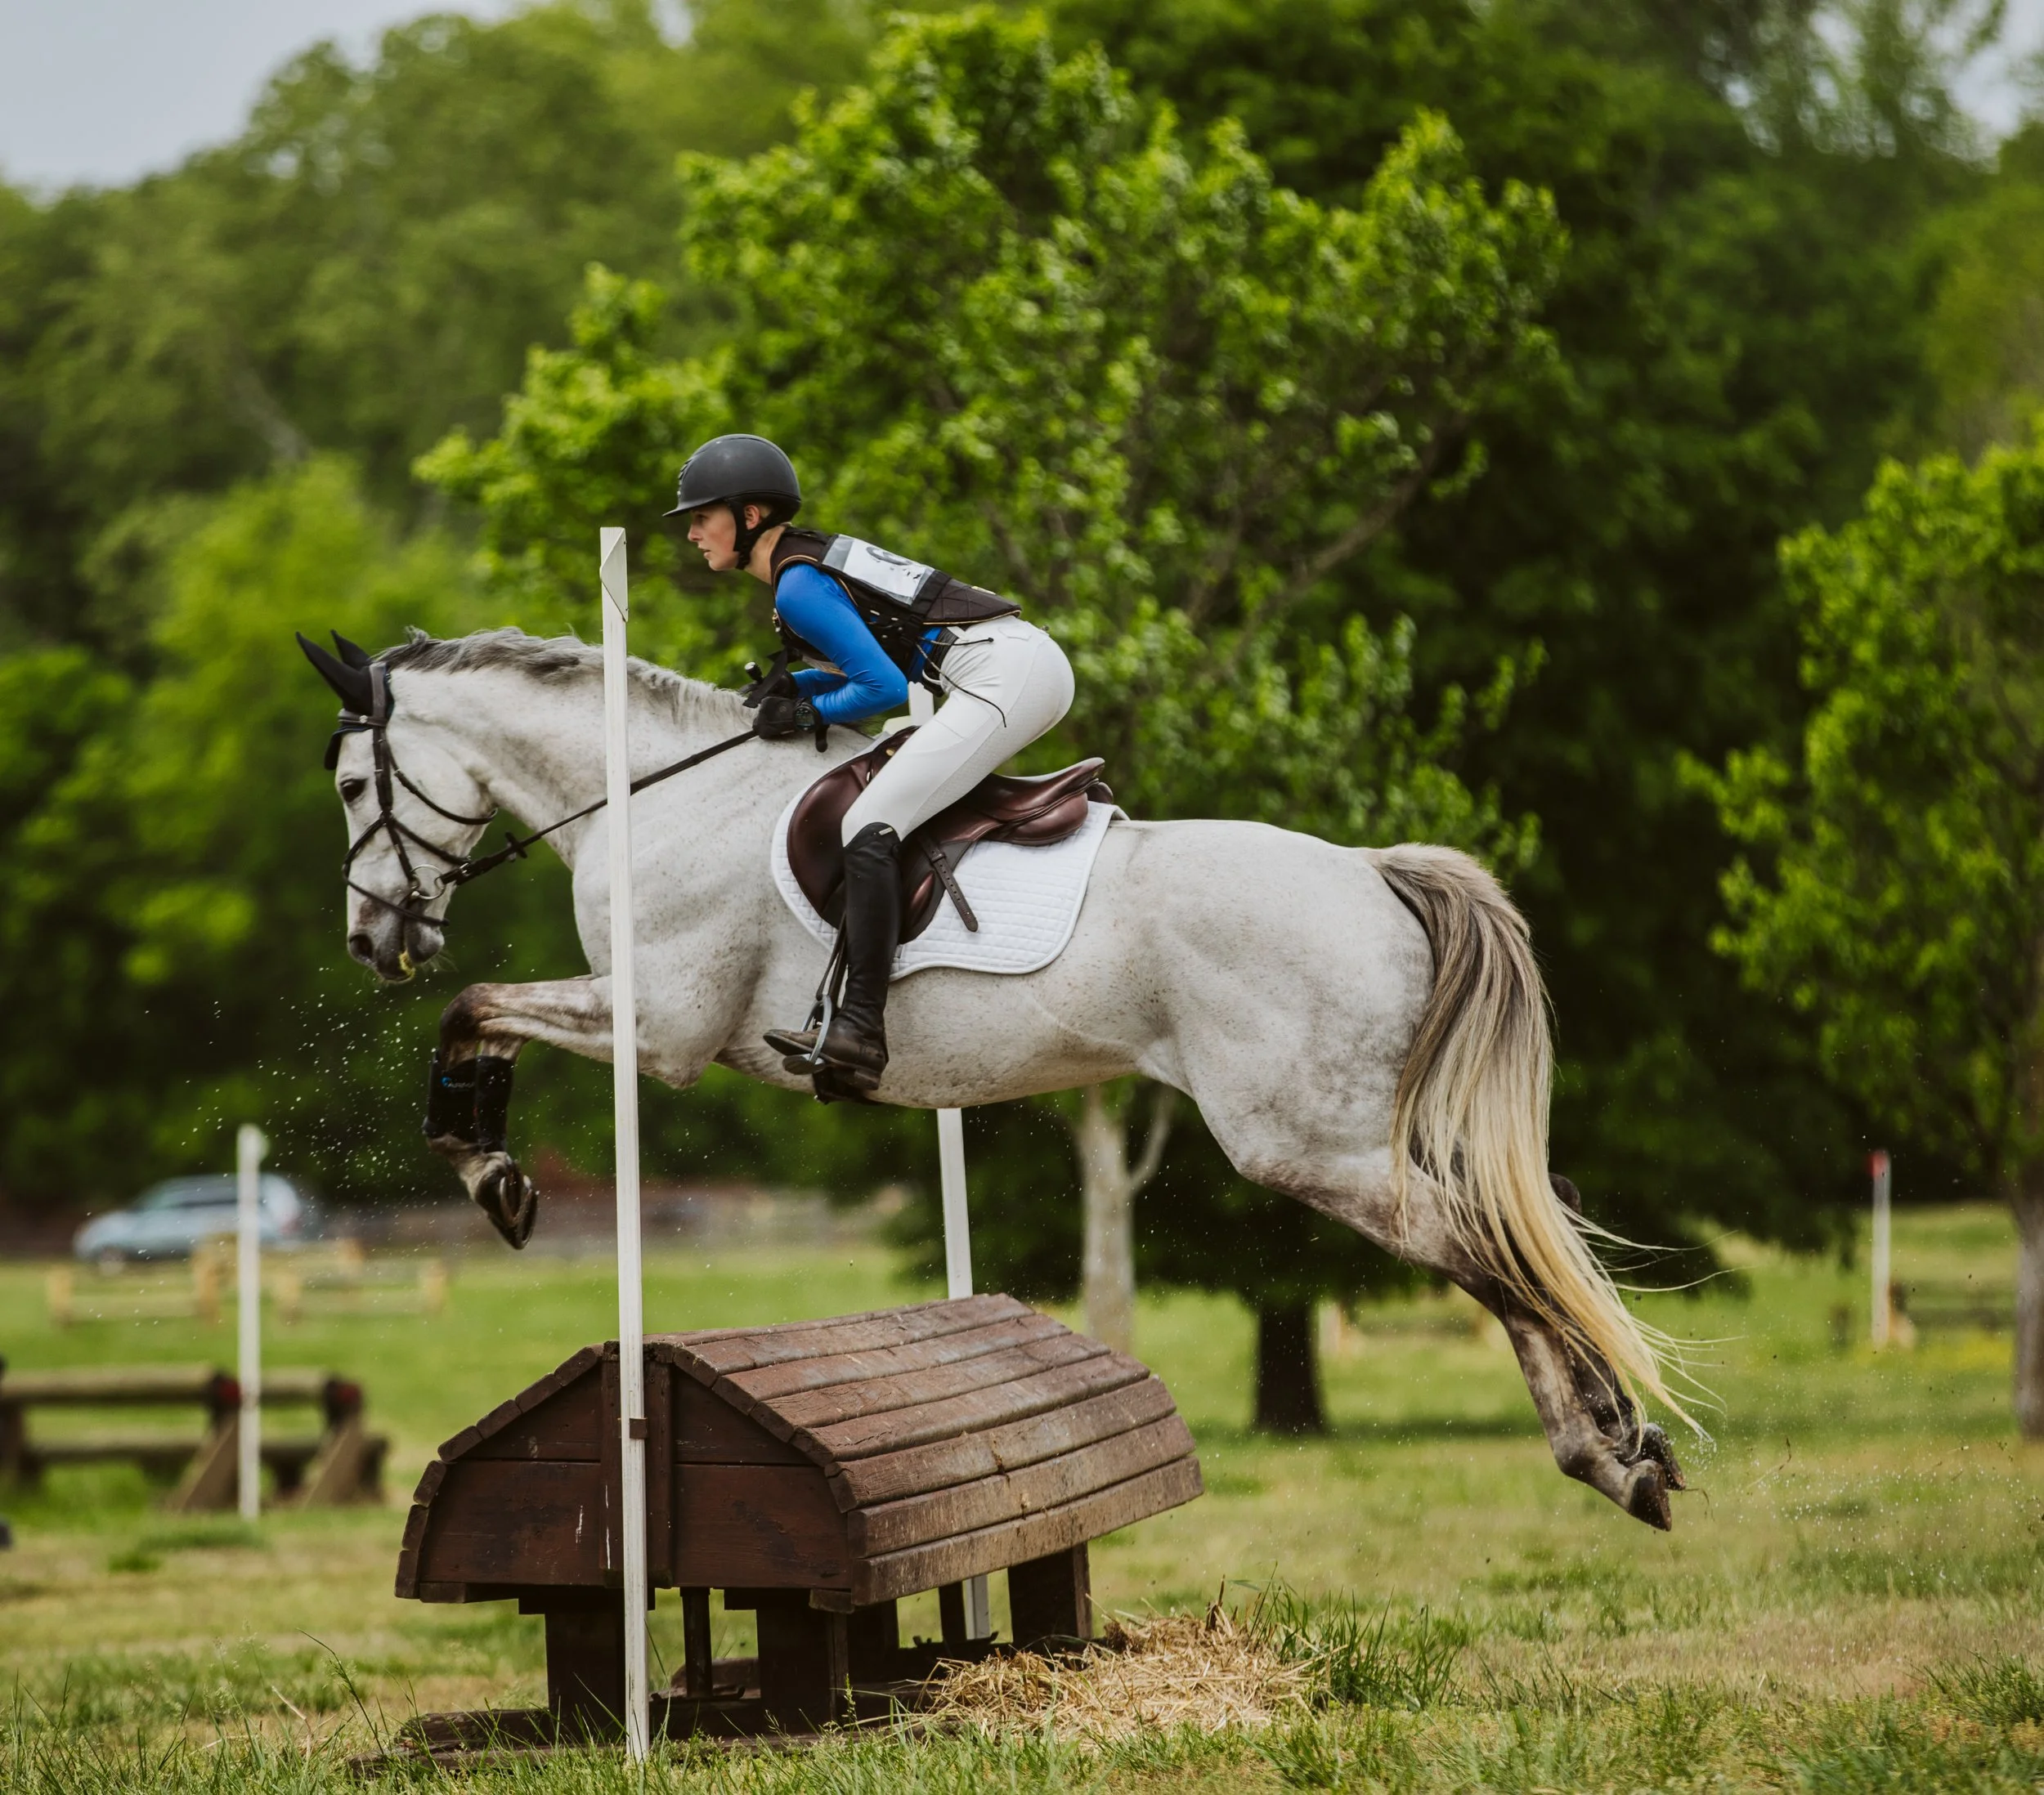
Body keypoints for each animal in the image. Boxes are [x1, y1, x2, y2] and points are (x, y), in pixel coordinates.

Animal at [305, 625, 1691, 1529]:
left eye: (352, 783)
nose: (374, 941)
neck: (648, 795)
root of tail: (1370, 872)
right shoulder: (642, 1023)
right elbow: (482, 1016)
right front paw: (498, 1174)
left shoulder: (659, 1033)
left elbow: (476, 1010)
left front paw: (487, 1172)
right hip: (1355, 1128)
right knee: (1531, 1231)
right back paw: (1627, 1444)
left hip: (1306, 1141)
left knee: (1490, 1249)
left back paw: (1604, 1454)